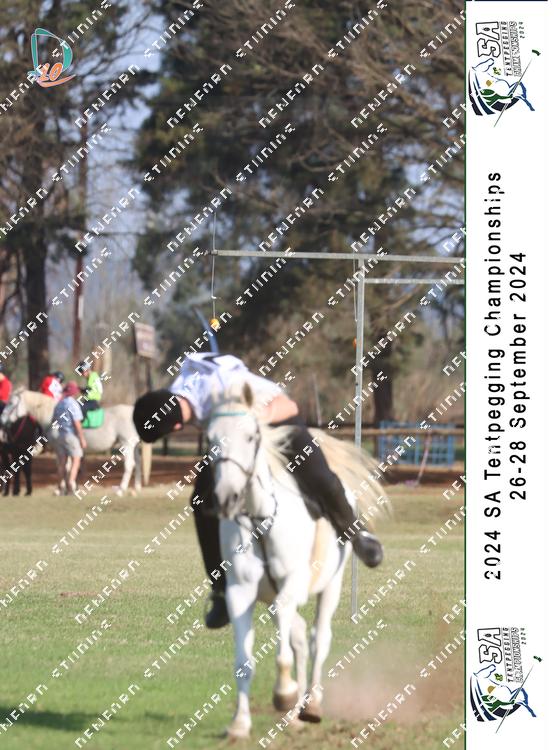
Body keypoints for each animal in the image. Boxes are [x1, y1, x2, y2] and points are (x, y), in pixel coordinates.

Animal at [0, 388, 151, 496]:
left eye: (11, 403)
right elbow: (68, 467)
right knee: (138, 463)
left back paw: (121, 489)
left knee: (130, 465)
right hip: (134, 446)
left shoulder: (60, 448)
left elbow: (62, 466)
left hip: (127, 444)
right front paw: (67, 488)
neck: (55, 414)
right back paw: (136, 488)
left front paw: (62, 489)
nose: (2, 420)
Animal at [207, 381, 387, 739]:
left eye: (251, 436)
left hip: (332, 585)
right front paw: (240, 723)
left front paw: (283, 693)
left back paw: (312, 704)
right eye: (211, 439)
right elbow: (244, 662)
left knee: (318, 639)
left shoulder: (292, 585)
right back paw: (295, 712)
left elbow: (287, 649)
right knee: (301, 636)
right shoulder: (240, 593)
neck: (261, 519)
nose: (226, 497)